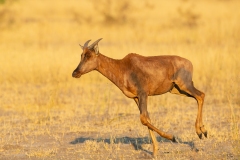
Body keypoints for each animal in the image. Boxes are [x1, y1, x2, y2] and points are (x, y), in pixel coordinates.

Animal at [71, 38, 206, 156]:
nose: (75, 73)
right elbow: (147, 119)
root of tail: (189, 63)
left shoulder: (143, 94)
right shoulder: (136, 98)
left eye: (89, 56)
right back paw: (202, 131)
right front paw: (155, 151)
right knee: (199, 96)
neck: (123, 66)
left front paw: (172, 137)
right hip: (177, 90)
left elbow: (143, 119)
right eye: (81, 55)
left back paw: (200, 132)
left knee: (200, 95)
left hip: (185, 85)